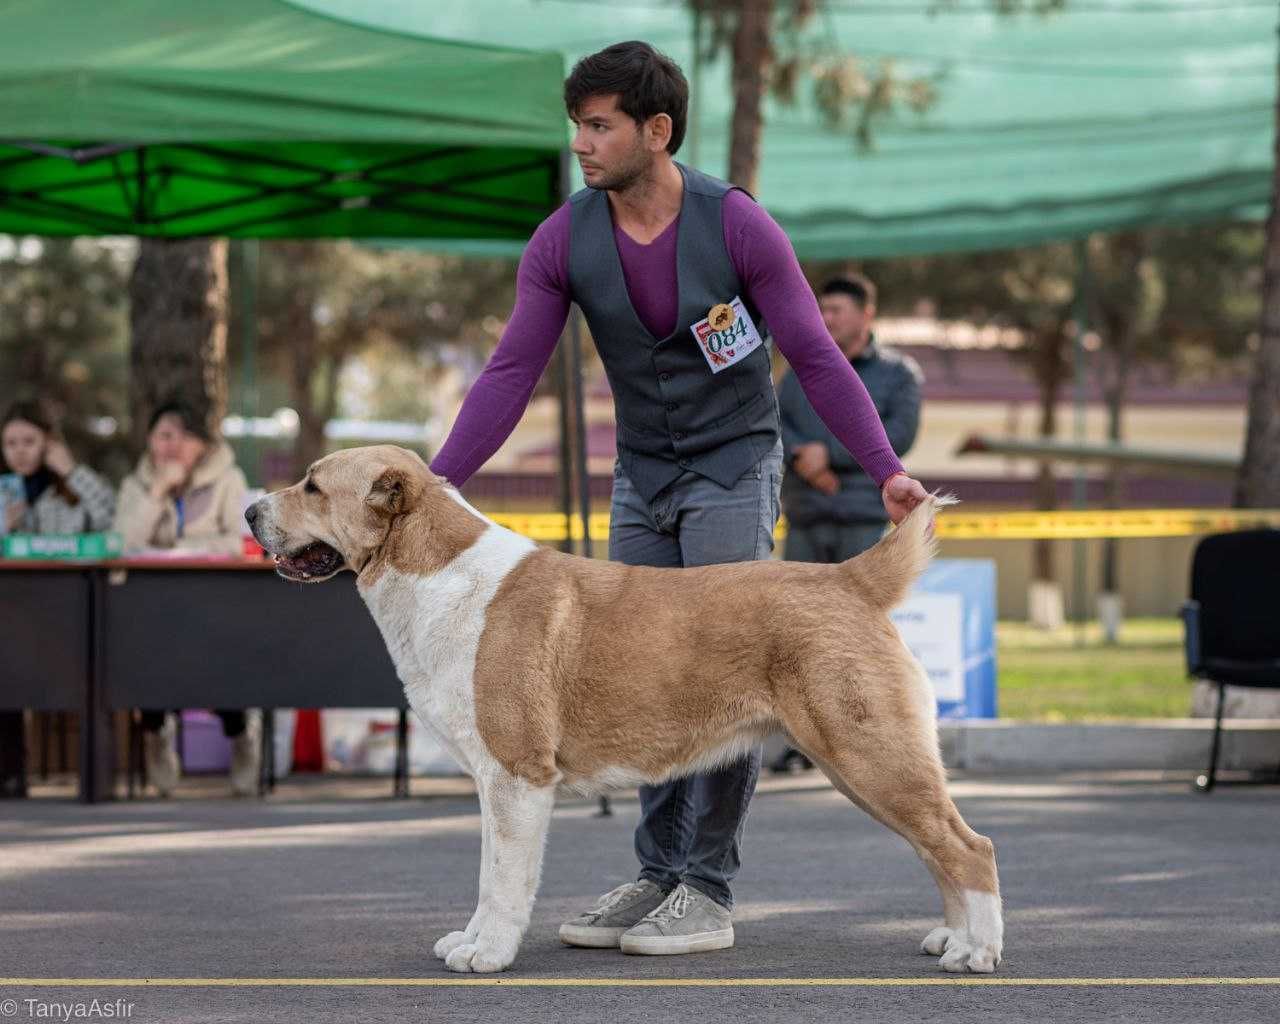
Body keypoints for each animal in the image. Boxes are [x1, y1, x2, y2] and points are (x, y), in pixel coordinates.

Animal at [247, 445, 998, 977]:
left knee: (969, 847)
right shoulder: (494, 783)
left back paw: (977, 952)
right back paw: (950, 938)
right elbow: (488, 874)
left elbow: (504, 879)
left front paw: (488, 954)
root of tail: (850, 578)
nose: (251, 513)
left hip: (869, 755)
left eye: (312, 486)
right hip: (864, 762)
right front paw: (471, 938)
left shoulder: (517, 777)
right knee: (938, 847)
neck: (437, 572)